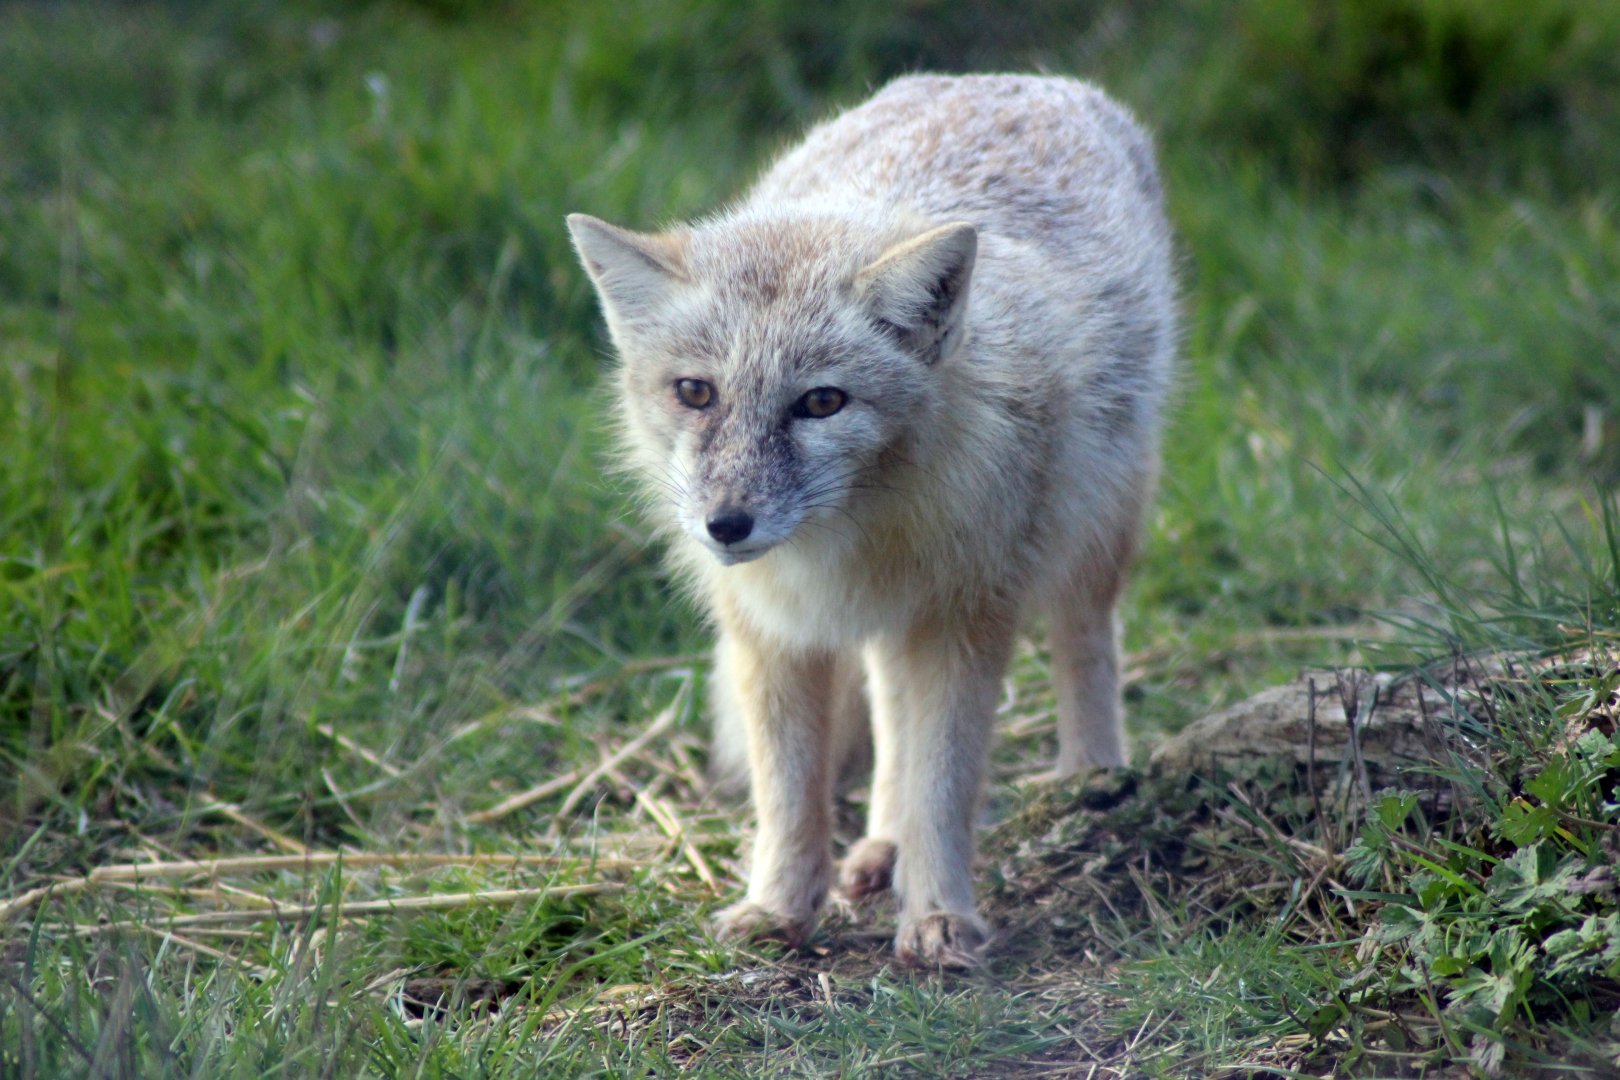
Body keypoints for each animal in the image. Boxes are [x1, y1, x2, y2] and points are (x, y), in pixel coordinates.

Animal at [566, 73, 1175, 967]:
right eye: (696, 392)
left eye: (821, 402)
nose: (725, 526)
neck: (841, 548)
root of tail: (1019, 79)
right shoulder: (771, 633)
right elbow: (789, 795)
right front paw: (778, 908)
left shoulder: (966, 619)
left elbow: (945, 786)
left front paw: (940, 915)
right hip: (895, 623)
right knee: (890, 716)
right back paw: (881, 846)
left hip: (1093, 527)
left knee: (1085, 637)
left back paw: (1091, 779)